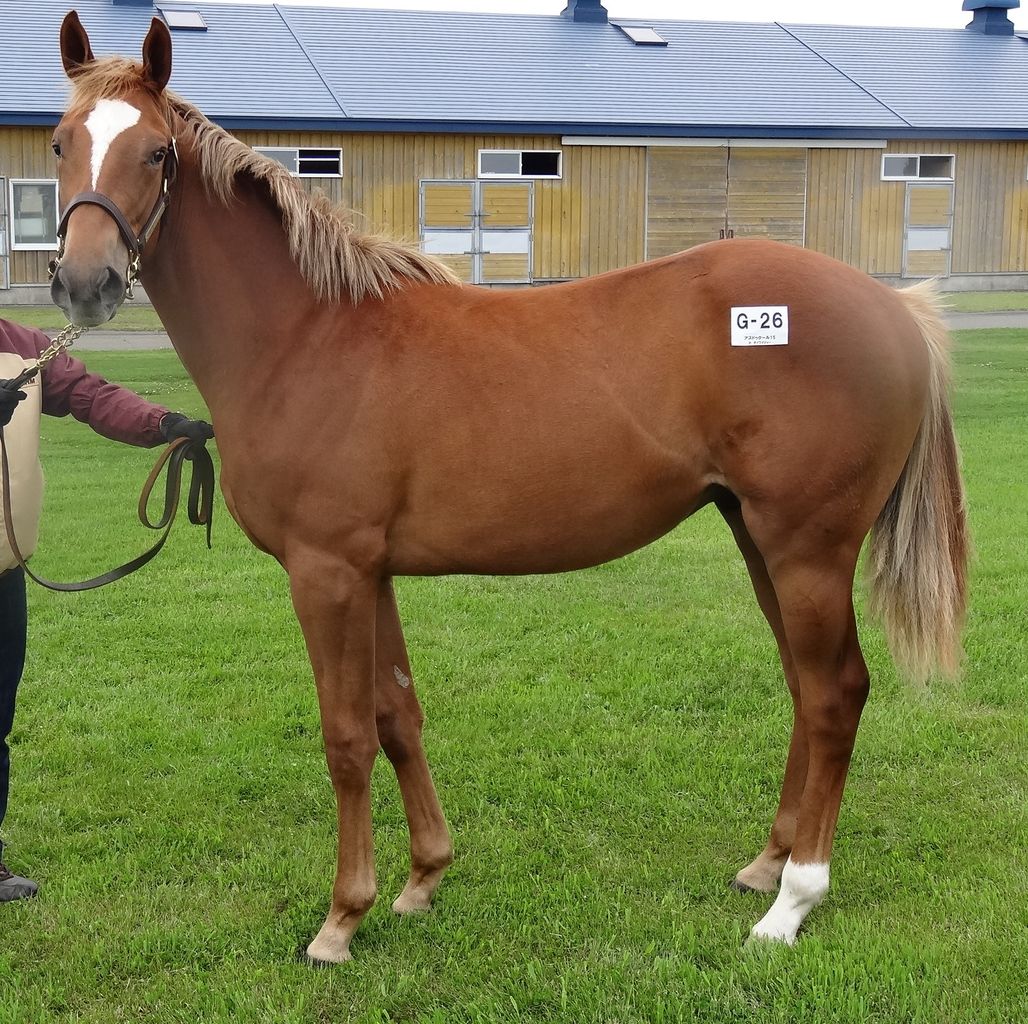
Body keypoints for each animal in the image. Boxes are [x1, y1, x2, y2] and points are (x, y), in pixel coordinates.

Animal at [48, 11, 967, 964]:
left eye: (156, 151)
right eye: (60, 142)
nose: (84, 282)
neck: (308, 335)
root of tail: (897, 310)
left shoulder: (325, 572)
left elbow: (346, 737)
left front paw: (342, 918)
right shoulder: (371, 572)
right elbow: (397, 716)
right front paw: (422, 879)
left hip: (808, 550)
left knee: (834, 694)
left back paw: (791, 902)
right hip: (758, 538)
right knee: (801, 688)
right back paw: (766, 862)